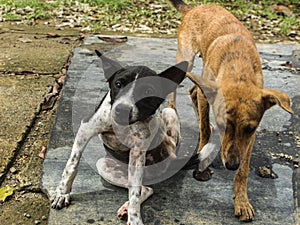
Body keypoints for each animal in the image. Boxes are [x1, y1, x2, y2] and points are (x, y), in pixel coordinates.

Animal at [51, 50, 188, 224]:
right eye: (118, 84)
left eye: (147, 91)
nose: (122, 110)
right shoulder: (85, 129)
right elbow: (71, 164)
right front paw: (62, 193)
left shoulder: (137, 153)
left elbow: (135, 193)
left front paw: (135, 219)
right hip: (105, 166)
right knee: (144, 187)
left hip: (167, 116)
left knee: (144, 187)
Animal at [168, 0, 294, 221]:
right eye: (222, 125)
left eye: (250, 129)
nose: (231, 165)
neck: (238, 71)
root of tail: (195, 8)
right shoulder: (206, 94)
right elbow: (204, 130)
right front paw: (202, 164)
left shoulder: (249, 138)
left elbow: (244, 169)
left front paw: (241, 200)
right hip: (186, 60)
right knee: (174, 89)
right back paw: (171, 111)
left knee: (192, 90)